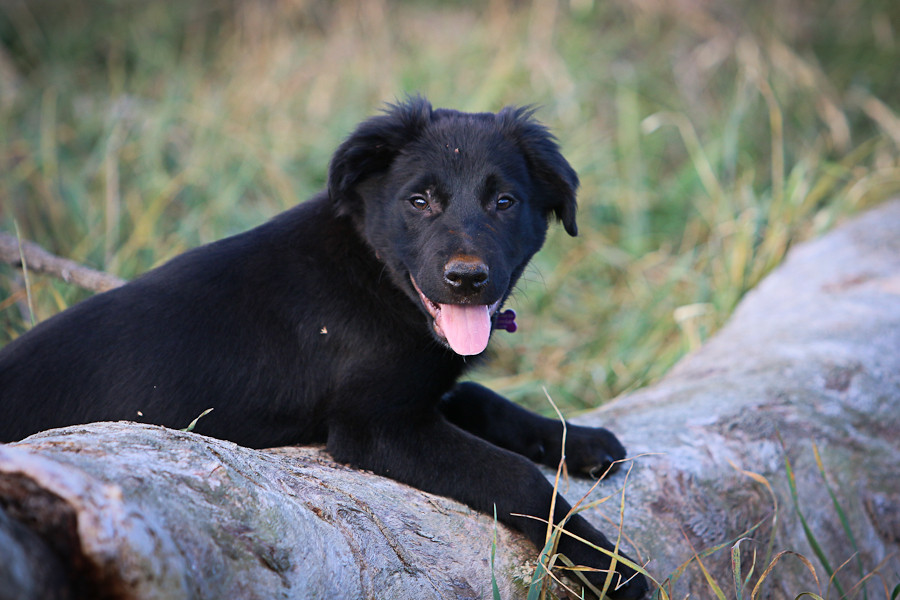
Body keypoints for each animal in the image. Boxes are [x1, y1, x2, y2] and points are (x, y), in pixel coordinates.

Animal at [0, 97, 648, 598]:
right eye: (420, 201)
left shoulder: (415, 397)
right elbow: (517, 477)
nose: (467, 279)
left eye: (504, 202)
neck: (375, 275)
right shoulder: (375, 426)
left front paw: (580, 441)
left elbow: (484, 400)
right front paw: (610, 566)